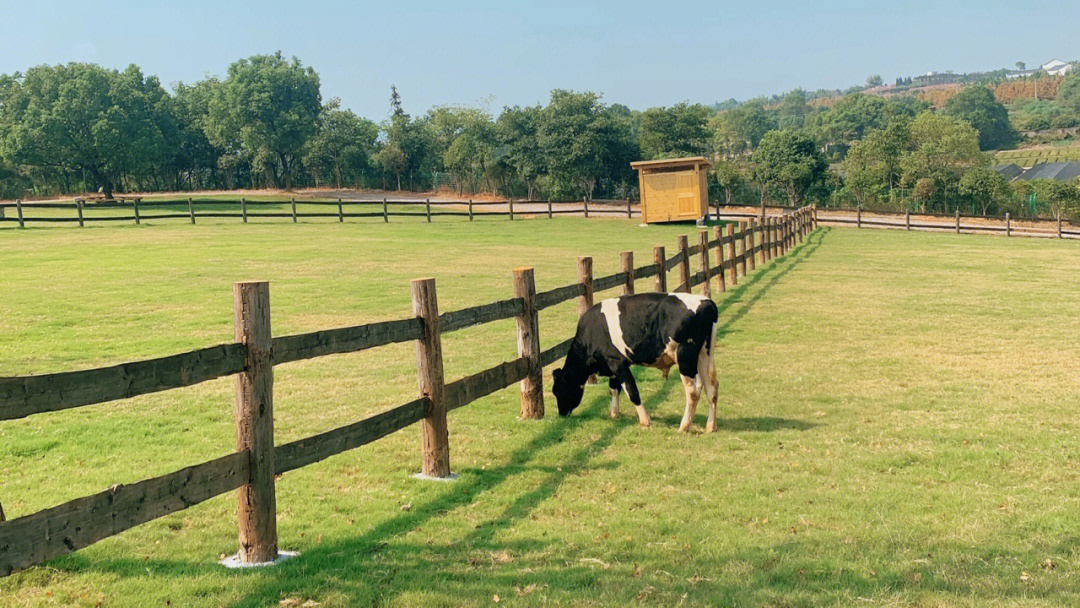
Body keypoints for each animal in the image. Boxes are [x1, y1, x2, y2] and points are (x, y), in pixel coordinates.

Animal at [552, 291, 721, 429]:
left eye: (558, 391)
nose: (561, 413)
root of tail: (707, 302)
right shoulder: (612, 365)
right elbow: (613, 389)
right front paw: (614, 413)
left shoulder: (617, 362)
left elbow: (631, 390)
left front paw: (645, 420)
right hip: (704, 355)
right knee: (711, 387)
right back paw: (710, 426)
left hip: (685, 357)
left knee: (692, 391)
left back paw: (684, 426)